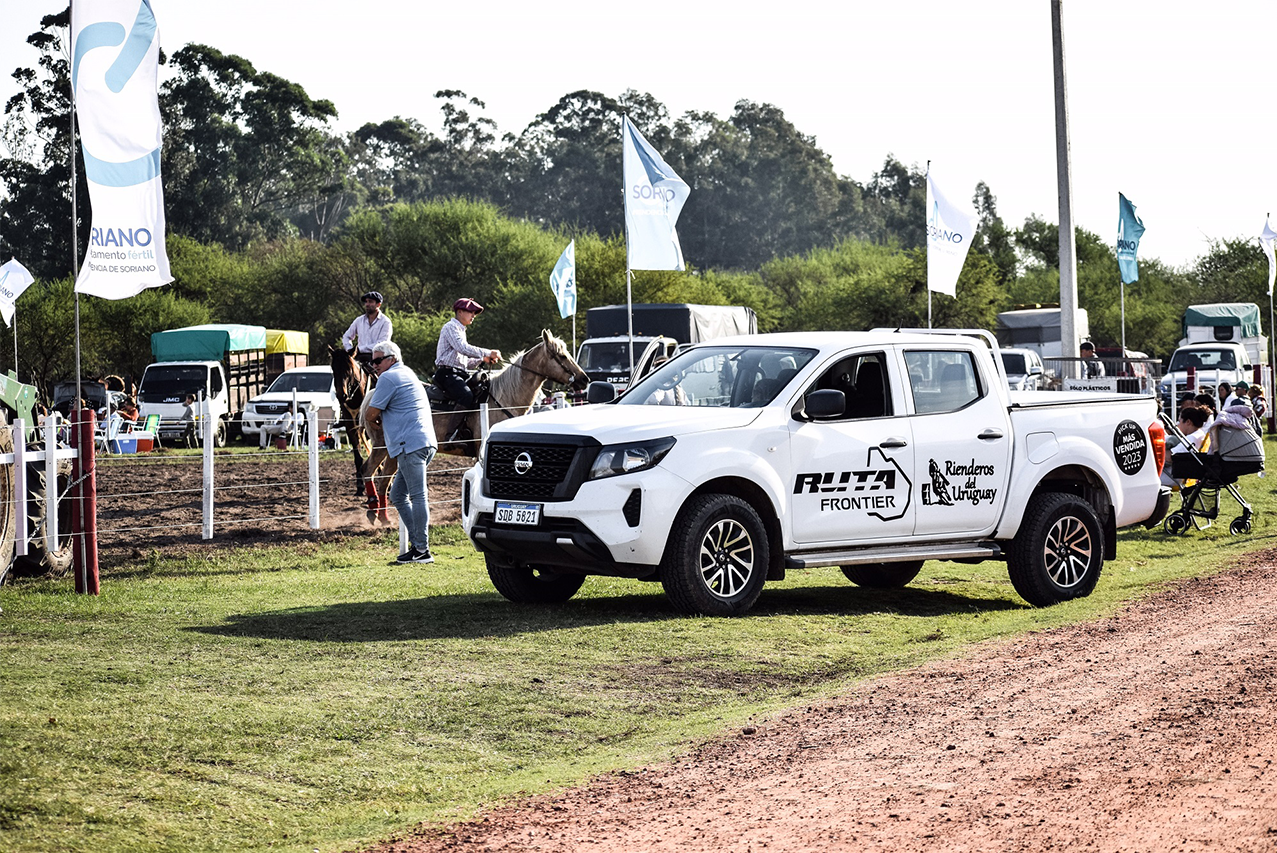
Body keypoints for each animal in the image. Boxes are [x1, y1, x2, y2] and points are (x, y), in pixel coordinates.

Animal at [355, 329, 592, 523]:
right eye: (562, 356)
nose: (584, 379)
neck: (503, 397)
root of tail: (371, 396)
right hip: (382, 446)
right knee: (371, 472)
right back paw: (376, 513)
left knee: (383, 475)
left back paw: (381, 515)